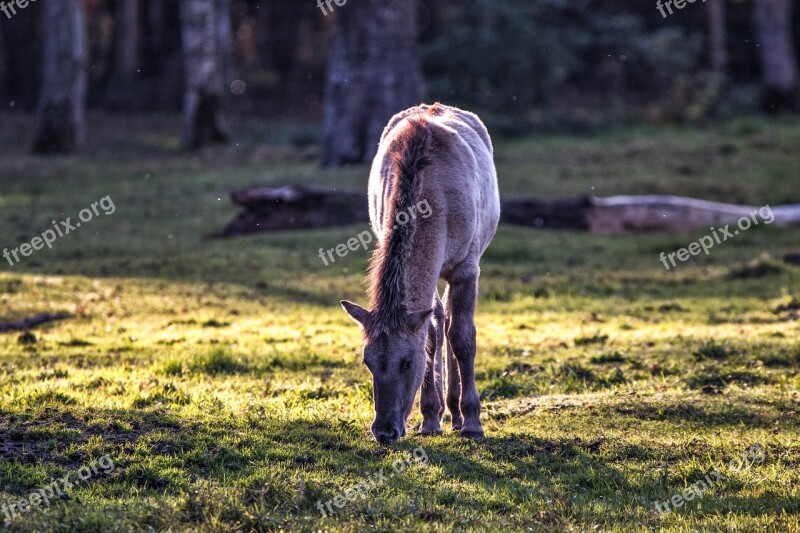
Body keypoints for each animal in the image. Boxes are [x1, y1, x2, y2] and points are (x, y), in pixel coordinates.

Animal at [340, 102, 500, 442]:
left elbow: (463, 337)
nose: (384, 431)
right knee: (439, 320)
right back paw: (442, 412)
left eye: (406, 362)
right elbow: (431, 333)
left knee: (452, 324)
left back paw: (458, 415)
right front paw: (429, 418)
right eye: (367, 360)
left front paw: (473, 421)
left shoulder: (467, 265)